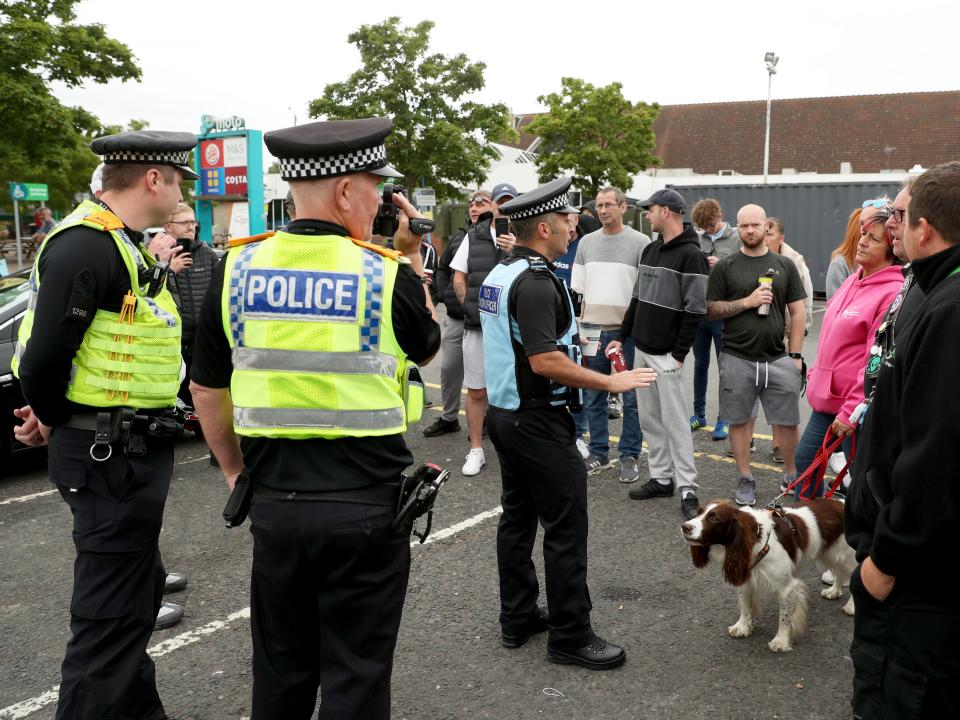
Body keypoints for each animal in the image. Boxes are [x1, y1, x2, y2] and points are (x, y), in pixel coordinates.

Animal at [684, 500, 856, 652]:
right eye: (699, 512)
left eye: (714, 518)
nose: (684, 527)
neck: (756, 541)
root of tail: (842, 502)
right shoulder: (746, 578)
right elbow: (745, 606)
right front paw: (742, 627)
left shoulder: (786, 588)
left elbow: (784, 618)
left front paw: (781, 641)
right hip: (832, 555)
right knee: (840, 573)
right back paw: (834, 591)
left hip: (845, 556)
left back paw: (852, 606)